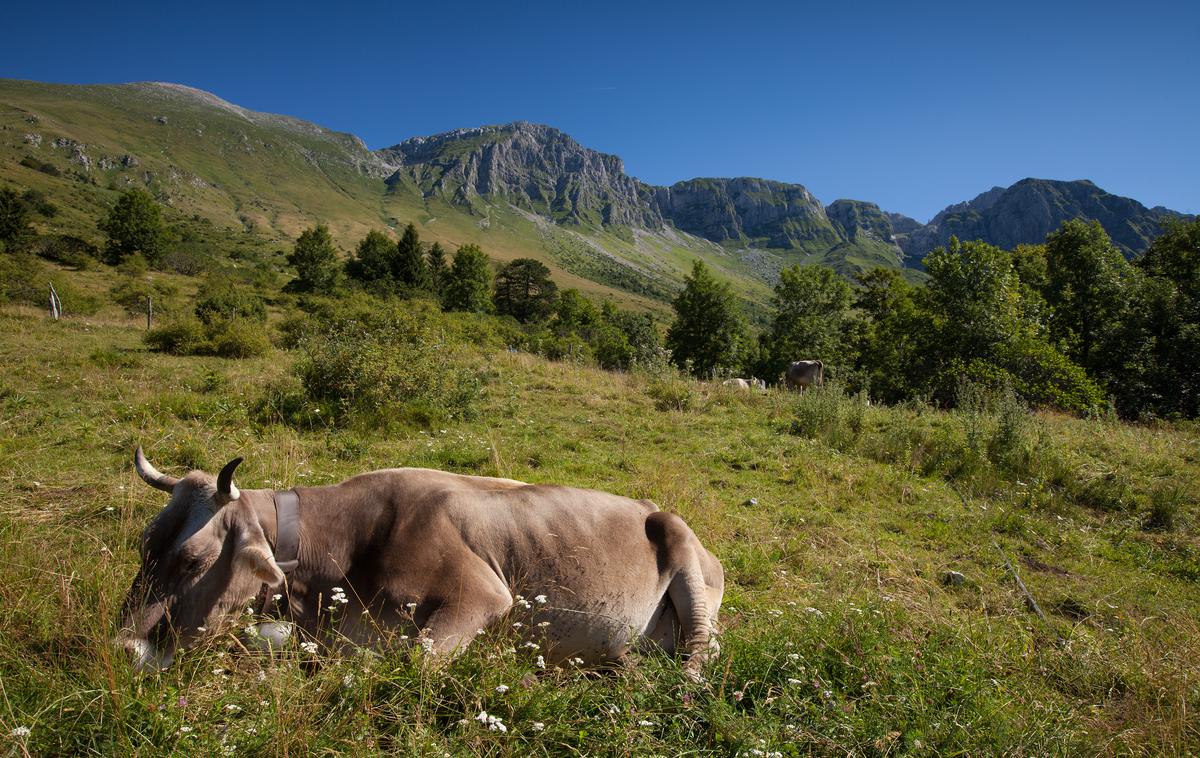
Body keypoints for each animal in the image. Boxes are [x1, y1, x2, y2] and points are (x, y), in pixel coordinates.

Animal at [119, 450, 720, 681]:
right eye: (145, 545)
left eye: (192, 559)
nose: (127, 647)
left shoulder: (483, 596)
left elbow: (416, 662)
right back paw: (619, 665)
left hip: (686, 557)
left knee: (699, 657)